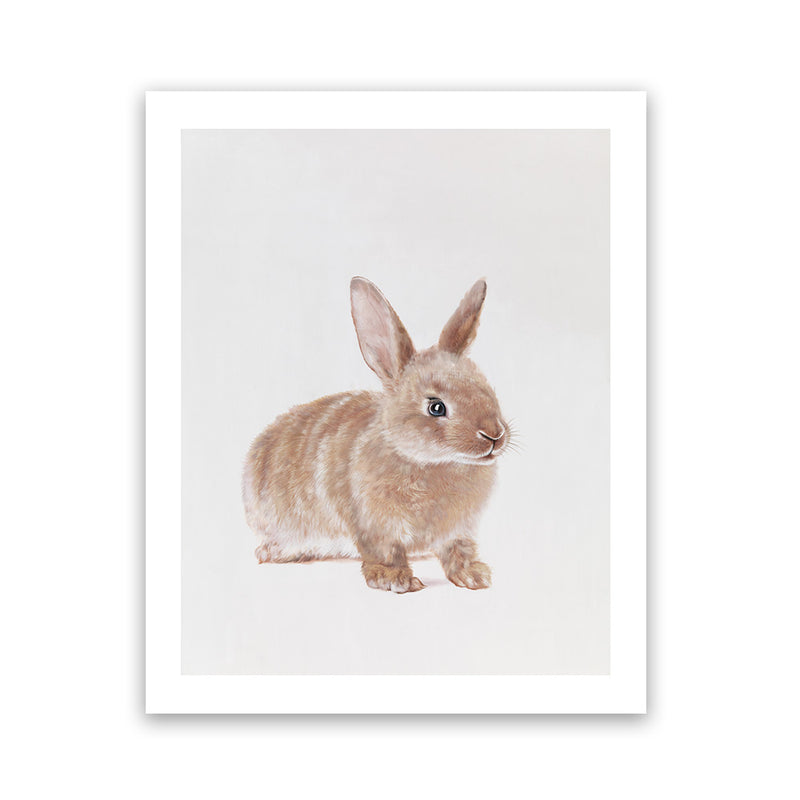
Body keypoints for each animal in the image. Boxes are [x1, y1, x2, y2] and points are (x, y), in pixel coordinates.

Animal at [242, 277, 510, 593]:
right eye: (436, 407)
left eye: (487, 389)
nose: (494, 435)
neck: (429, 461)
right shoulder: (374, 524)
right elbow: (385, 552)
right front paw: (395, 580)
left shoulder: (458, 531)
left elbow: (459, 551)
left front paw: (474, 576)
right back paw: (273, 552)